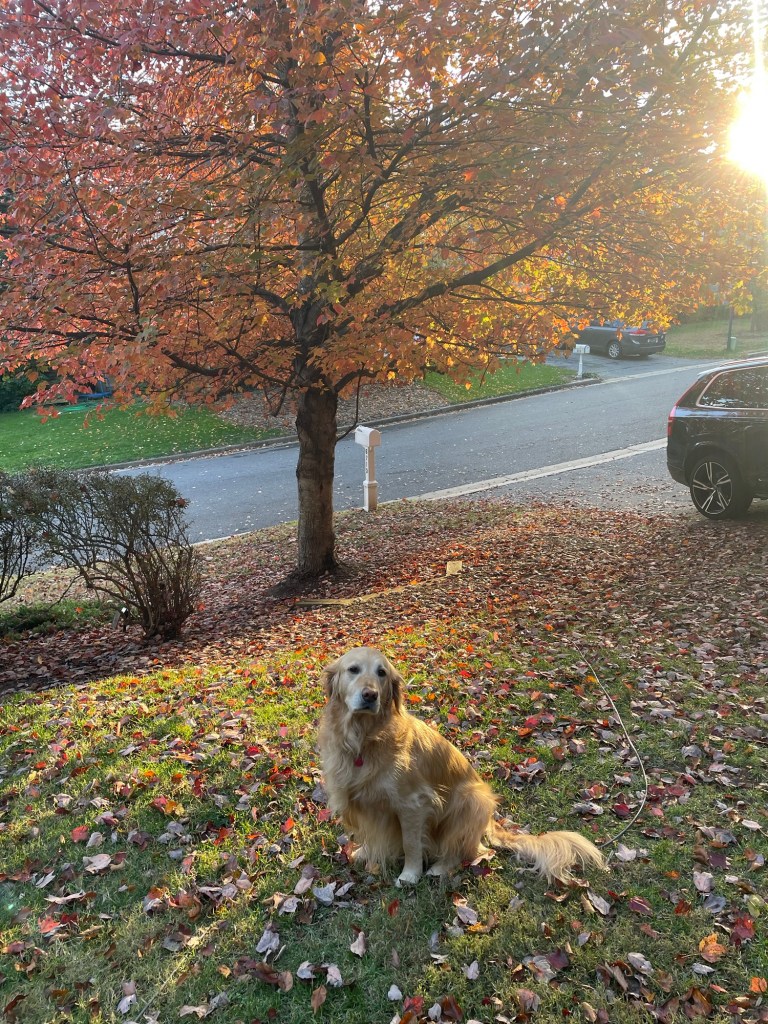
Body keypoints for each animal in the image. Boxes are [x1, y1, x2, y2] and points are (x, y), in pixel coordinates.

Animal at [317, 647, 606, 886]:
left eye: (382, 673)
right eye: (353, 669)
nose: (370, 695)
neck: (364, 738)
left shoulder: (413, 803)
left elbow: (411, 844)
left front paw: (410, 874)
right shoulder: (360, 799)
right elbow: (367, 833)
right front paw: (365, 852)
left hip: (471, 799)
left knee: (471, 851)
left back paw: (440, 867)